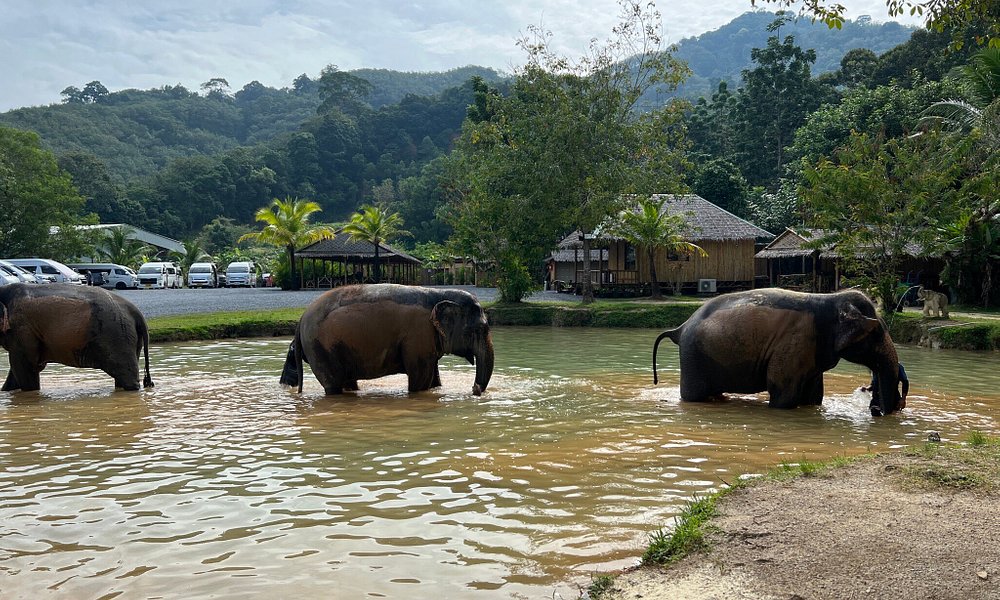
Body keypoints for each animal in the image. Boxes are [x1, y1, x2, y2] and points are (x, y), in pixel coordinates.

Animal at [0, 283, 153, 392]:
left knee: (127, 376)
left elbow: (26, 367)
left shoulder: (22, 329)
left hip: (117, 335)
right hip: (129, 338)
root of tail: (136, 312)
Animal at [279, 284, 494, 396]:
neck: (438, 294)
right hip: (319, 349)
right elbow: (420, 382)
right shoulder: (418, 337)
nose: (474, 389)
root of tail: (300, 320)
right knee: (333, 385)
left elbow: (433, 379)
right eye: (478, 330)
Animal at [652, 289, 904, 415]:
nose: (877, 409)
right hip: (693, 358)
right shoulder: (794, 343)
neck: (830, 299)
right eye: (875, 332)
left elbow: (813, 396)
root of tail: (680, 328)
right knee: (693, 396)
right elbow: (784, 394)